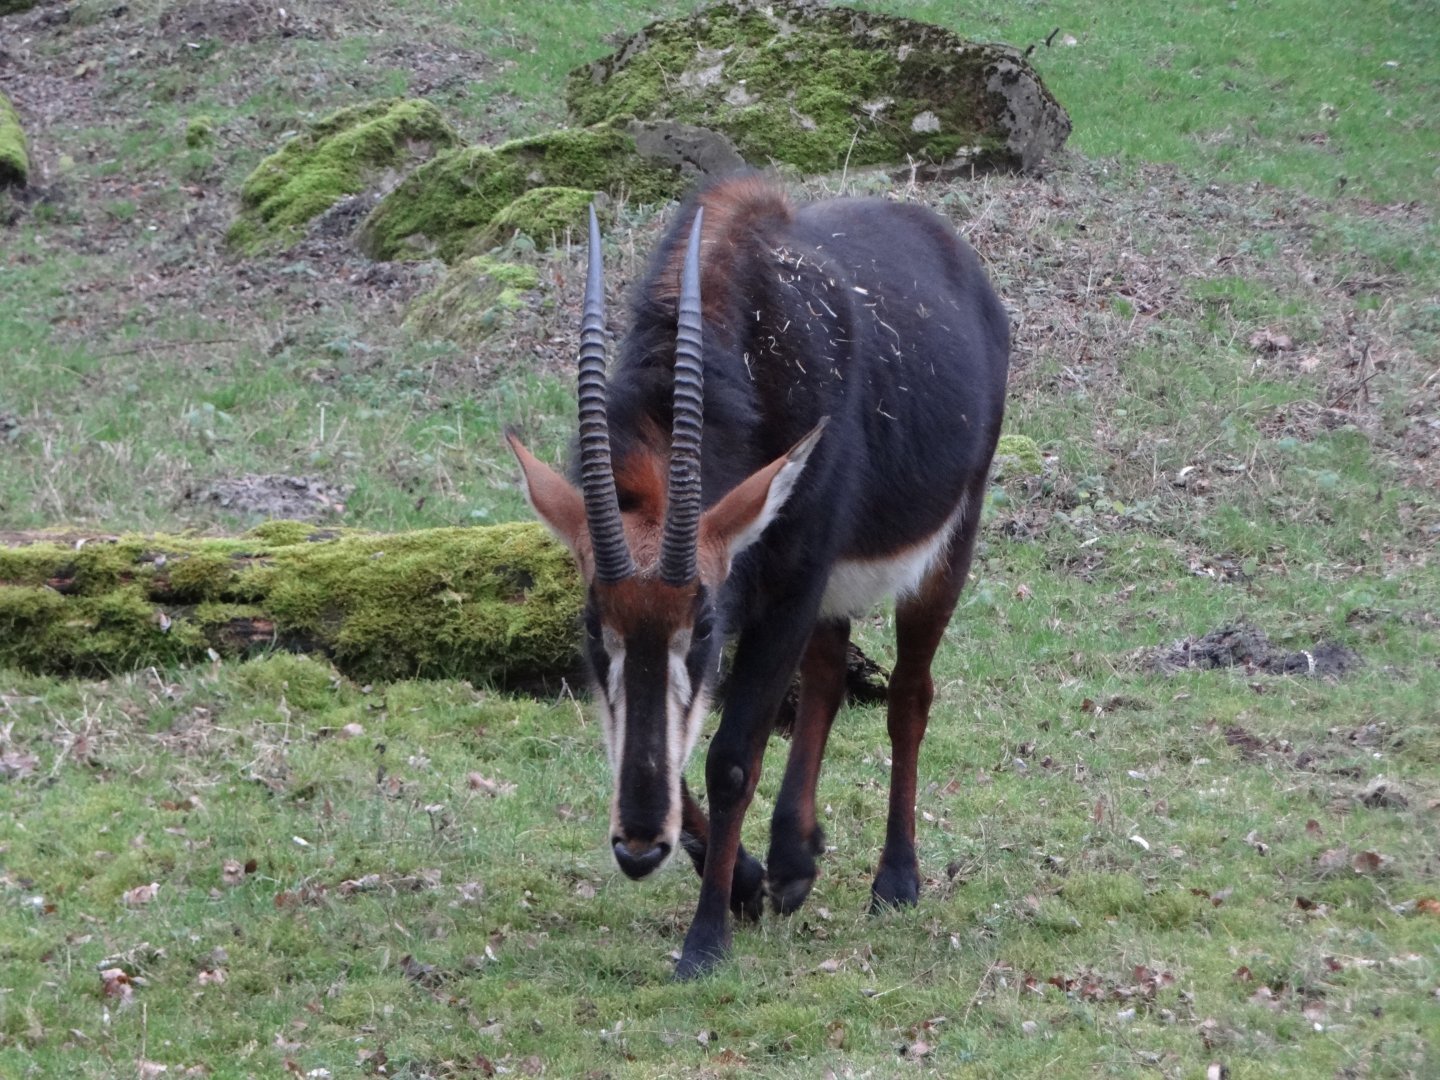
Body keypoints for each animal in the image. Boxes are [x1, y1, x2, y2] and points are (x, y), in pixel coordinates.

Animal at [509, 177, 1008, 979]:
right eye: (592, 623)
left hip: (945, 545)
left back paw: (895, 880)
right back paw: (794, 860)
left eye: (704, 625)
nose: (637, 845)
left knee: (909, 695)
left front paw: (706, 939)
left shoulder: (790, 587)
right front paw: (747, 880)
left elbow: (732, 757)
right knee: (830, 676)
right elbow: (660, 743)